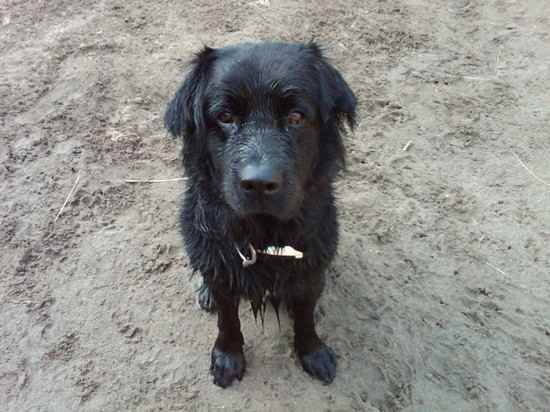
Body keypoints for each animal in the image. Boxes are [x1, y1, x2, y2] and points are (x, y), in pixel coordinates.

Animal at [164, 43, 358, 388]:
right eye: (225, 117)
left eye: (296, 116)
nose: (258, 183)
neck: (264, 235)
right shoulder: (221, 268)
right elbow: (228, 320)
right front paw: (227, 357)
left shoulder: (311, 267)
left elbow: (306, 315)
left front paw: (313, 351)